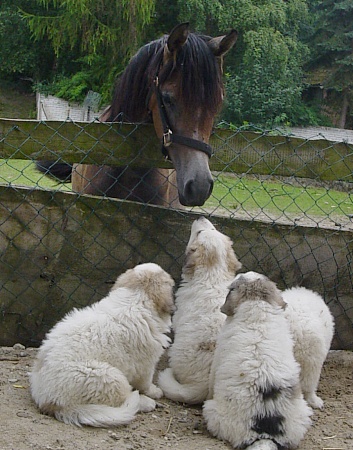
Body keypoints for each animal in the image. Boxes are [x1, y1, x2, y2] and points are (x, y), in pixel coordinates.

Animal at [30, 264, 175, 428]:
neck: (135, 298)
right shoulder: (146, 363)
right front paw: (154, 391)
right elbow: (145, 382)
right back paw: (146, 403)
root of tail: (48, 402)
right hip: (108, 377)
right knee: (123, 398)